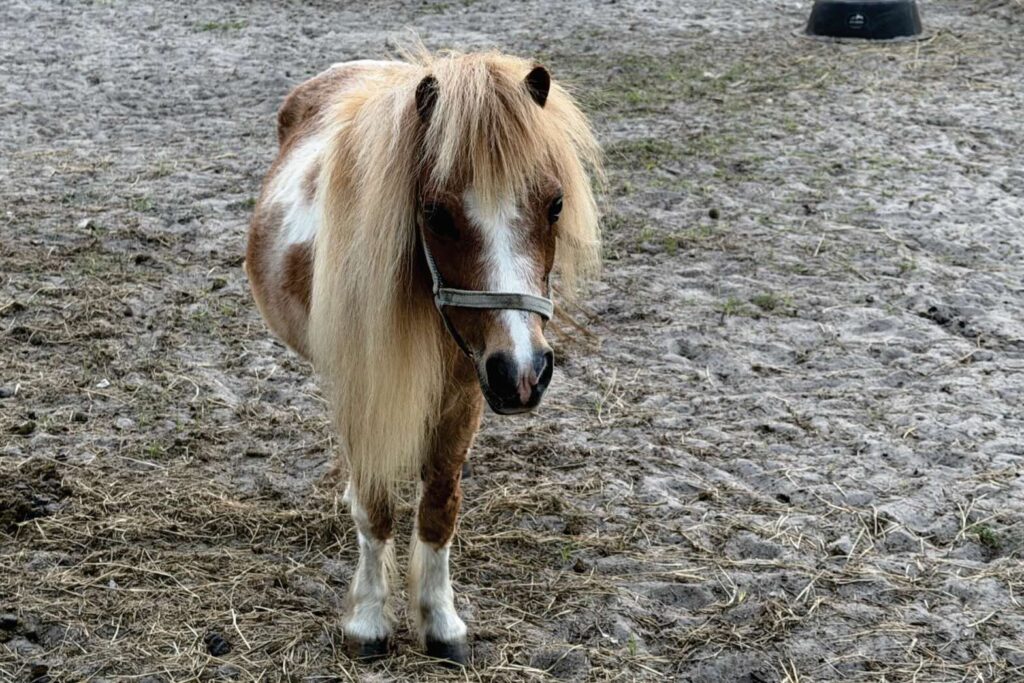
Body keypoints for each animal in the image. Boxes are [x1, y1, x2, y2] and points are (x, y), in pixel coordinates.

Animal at [245, 49, 601, 665]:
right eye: (434, 213)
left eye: (555, 204)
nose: (524, 372)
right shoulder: (363, 386)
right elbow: (376, 506)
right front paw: (368, 621)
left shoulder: (466, 391)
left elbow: (439, 507)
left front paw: (440, 621)